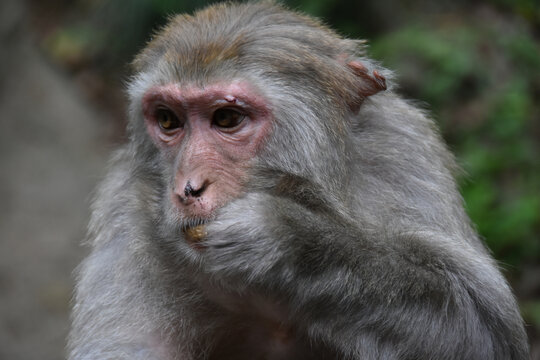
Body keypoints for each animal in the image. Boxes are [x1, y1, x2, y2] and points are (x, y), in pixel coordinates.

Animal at [67, 2, 528, 360]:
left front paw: (287, 240)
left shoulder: (402, 156)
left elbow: (482, 323)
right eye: (168, 120)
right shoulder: (129, 208)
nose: (187, 188)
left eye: (227, 118)